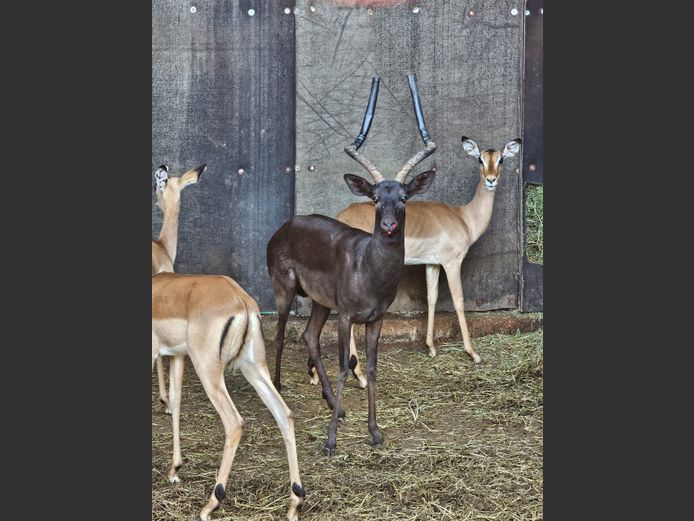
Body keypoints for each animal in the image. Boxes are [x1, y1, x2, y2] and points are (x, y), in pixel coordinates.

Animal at [152, 274, 305, 520]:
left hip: (209, 371)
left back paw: (211, 504)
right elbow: (175, 402)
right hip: (253, 367)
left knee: (234, 423)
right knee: (285, 414)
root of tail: (241, 300)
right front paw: (175, 469)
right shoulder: (177, 356)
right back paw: (295, 502)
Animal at [267, 75, 436, 455]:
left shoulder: (376, 318)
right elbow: (346, 366)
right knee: (281, 332)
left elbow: (370, 368)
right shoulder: (346, 316)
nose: (388, 226)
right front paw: (330, 442)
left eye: (404, 197)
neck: (369, 272)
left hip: (319, 302)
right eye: (375, 198)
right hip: (284, 289)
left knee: (309, 335)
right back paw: (279, 389)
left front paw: (375, 432)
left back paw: (336, 406)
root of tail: (282, 228)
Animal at [335, 135, 522, 378]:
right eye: (480, 159)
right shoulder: (452, 262)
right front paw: (473, 354)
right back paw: (359, 375)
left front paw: (431, 348)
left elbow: (432, 299)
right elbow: (458, 300)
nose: (491, 180)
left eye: (501, 160)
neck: (464, 218)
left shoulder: (432, 264)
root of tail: (339, 217)